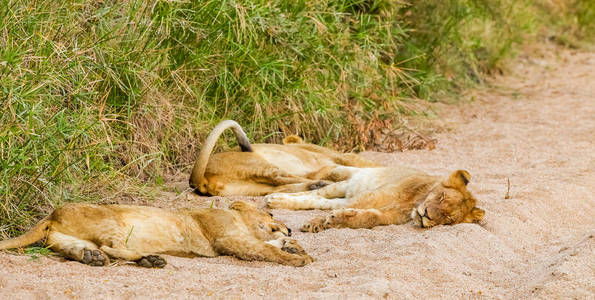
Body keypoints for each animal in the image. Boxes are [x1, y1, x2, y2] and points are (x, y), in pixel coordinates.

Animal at [189, 119, 380, 197]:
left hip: (252, 188)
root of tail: (202, 179)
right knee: (285, 178)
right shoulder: (339, 156)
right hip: (259, 165)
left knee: (282, 187)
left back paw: (318, 184)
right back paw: (326, 182)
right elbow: (367, 162)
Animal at [268, 166, 486, 232]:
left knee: (320, 201)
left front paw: (338, 220)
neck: (414, 203)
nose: (426, 216)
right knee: (317, 194)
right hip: (351, 183)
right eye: (441, 197)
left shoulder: (390, 215)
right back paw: (274, 199)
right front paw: (315, 223)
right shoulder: (374, 195)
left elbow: (371, 217)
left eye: (448, 219)